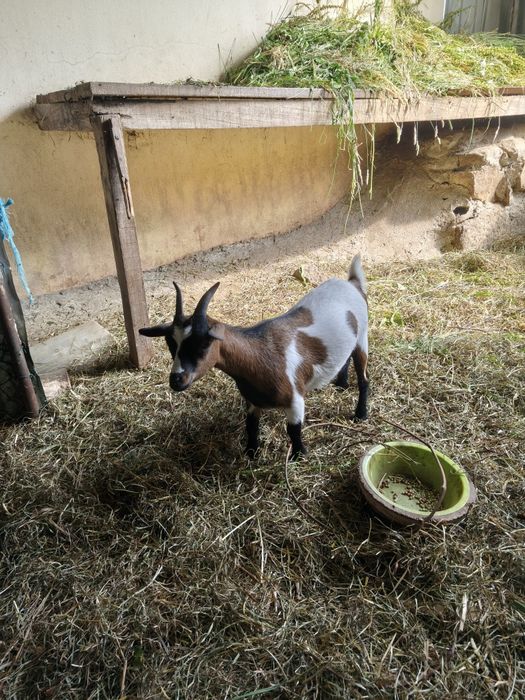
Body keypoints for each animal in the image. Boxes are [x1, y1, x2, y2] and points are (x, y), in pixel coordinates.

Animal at [139, 255, 369, 459]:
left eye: (203, 344)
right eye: (171, 344)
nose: (176, 380)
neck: (258, 355)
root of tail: (352, 283)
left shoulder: (295, 400)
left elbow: (293, 430)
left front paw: (299, 456)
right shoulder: (252, 399)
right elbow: (251, 425)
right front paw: (251, 453)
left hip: (362, 338)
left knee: (364, 379)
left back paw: (360, 415)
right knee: (345, 358)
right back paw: (341, 384)